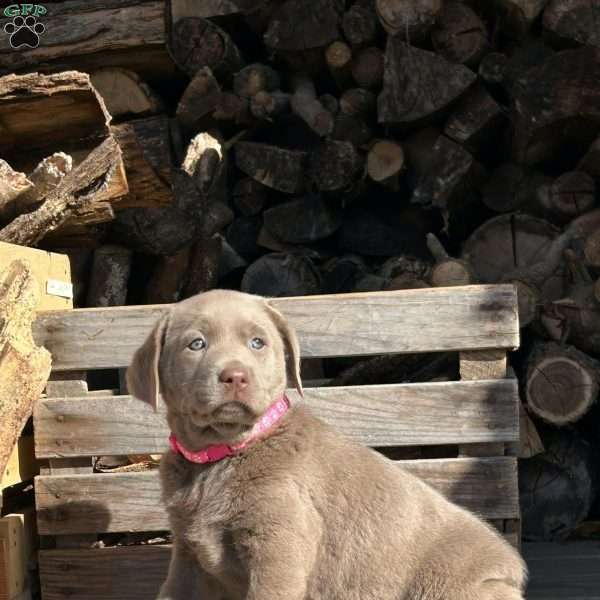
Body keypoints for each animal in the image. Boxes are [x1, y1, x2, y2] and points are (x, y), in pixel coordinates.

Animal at [126, 288, 524, 596]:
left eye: (258, 343)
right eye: (196, 344)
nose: (235, 376)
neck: (221, 455)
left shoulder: (279, 550)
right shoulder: (189, 556)